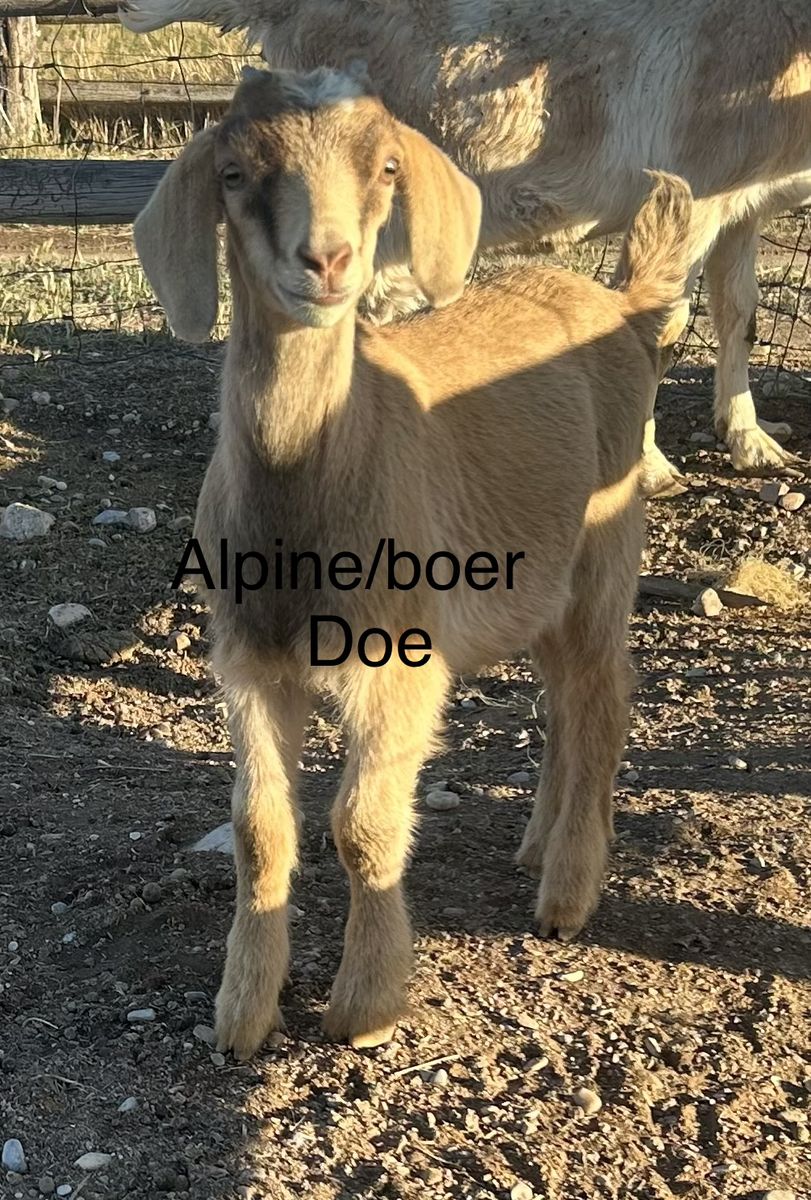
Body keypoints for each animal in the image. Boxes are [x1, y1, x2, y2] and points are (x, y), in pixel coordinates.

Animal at [120, 0, 810, 495]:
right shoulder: (692, 191)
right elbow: (663, 324)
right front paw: (652, 469)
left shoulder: (740, 203)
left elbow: (739, 314)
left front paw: (752, 442)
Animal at [134, 65, 692, 1057]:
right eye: (233, 173)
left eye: (386, 167)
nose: (325, 260)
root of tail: (619, 308)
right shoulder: (249, 662)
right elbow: (259, 829)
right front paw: (240, 1014)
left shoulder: (398, 662)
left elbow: (361, 827)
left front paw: (365, 1007)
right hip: (534, 584)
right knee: (560, 695)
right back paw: (539, 843)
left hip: (605, 547)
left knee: (603, 694)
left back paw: (567, 893)